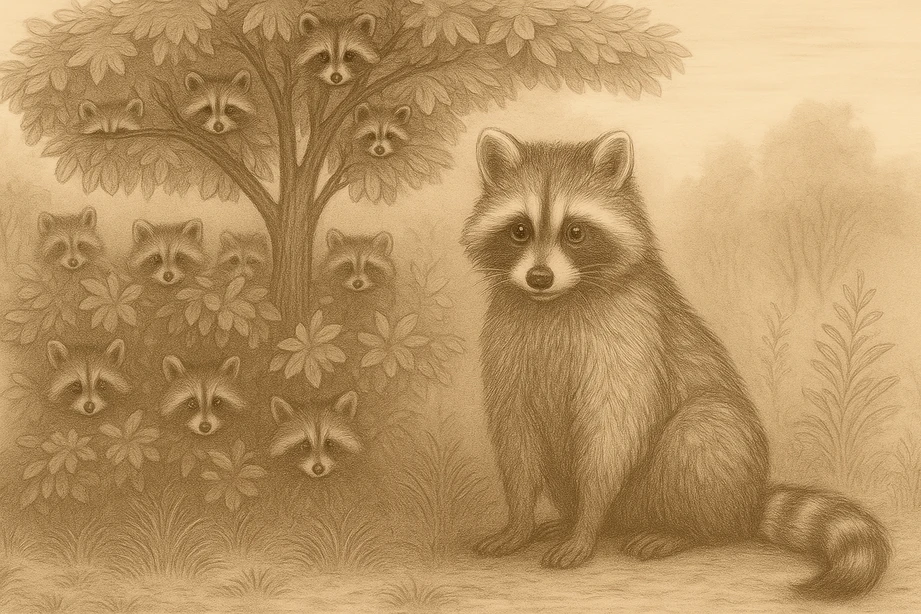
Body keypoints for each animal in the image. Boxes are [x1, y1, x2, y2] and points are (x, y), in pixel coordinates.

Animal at [461, 128, 890, 599]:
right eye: (519, 230)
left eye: (575, 231)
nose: (539, 277)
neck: (556, 301)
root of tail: (748, 505)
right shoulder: (509, 338)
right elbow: (515, 432)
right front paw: (519, 521)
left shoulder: (631, 336)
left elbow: (612, 434)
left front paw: (587, 524)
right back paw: (573, 520)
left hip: (711, 462)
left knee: (701, 428)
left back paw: (678, 530)